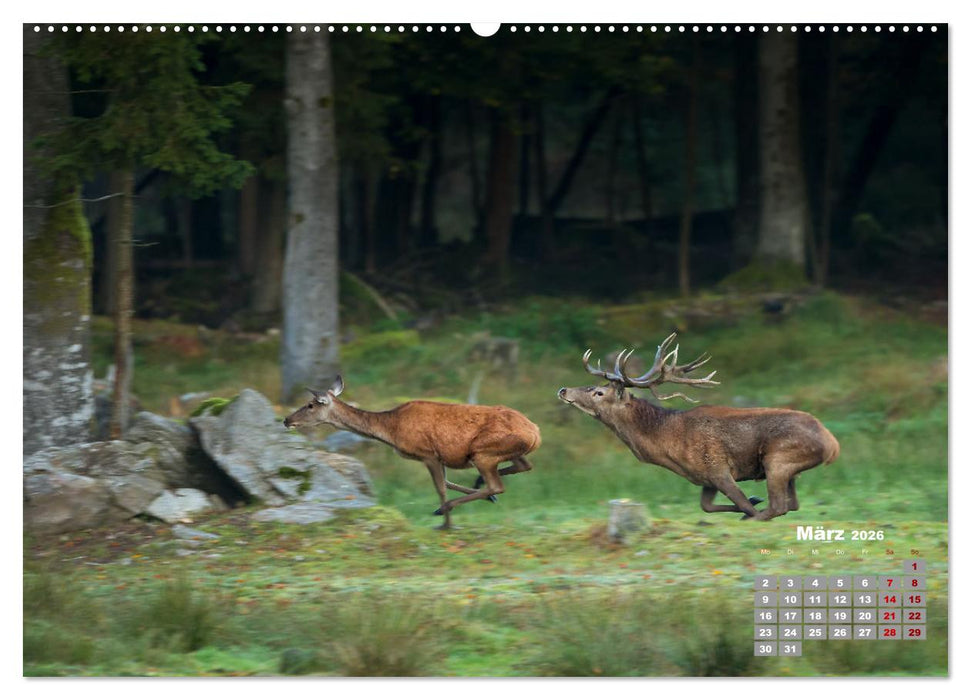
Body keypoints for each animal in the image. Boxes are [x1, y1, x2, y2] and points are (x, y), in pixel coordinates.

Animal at [283, 376, 541, 529]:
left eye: (310, 405)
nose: (287, 420)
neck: (391, 430)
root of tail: (536, 432)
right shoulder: (440, 456)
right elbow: (448, 483)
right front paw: (481, 499)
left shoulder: (427, 453)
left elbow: (440, 488)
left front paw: (446, 523)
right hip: (504, 452)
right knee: (524, 466)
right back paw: (481, 487)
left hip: (483, 453)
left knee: (498, 483)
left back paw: (448, 507)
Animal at [557, 333, 840, 521]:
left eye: (598, 393)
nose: (563, 390)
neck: (669, 446)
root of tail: (832, 444)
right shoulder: (706, 478)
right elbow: (707, 506)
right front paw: (752, 498)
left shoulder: (718, 468)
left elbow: (743, 504)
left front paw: (751, 503)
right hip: (789, 469)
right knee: (792, 504)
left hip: (778, 459)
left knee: (779, 506)